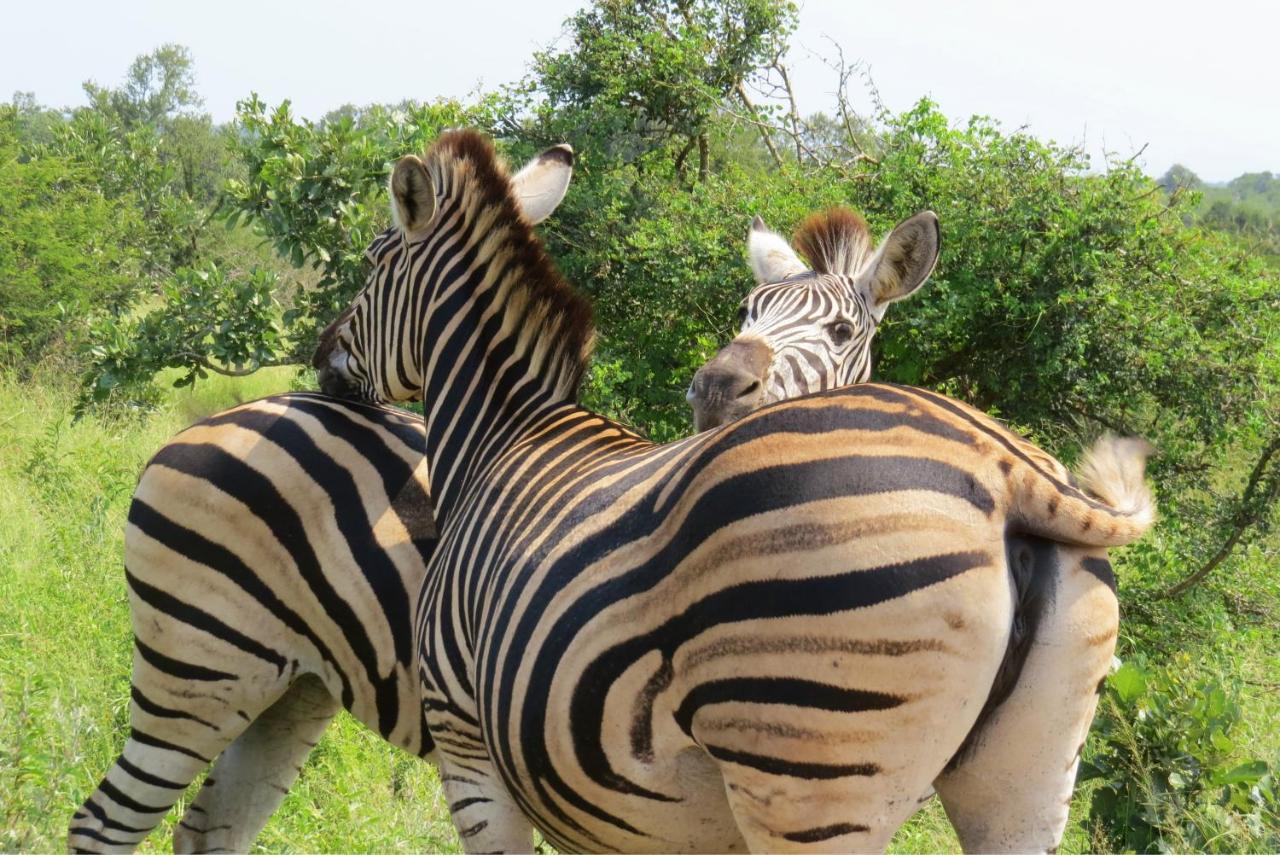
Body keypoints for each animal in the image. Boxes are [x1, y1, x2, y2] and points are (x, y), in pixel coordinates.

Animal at [64, 143, 576, 849]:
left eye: (373, 261)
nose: (319, 353)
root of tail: (204, 424)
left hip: (288, 684)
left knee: (209, 830)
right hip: (197, 669)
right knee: (103, 822)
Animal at [317, 128, 1152, 855]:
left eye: (373, 259)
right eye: (744, 312)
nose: (324, 359)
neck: (509, 431)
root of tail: (1005, 468)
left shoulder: (467, 749)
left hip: (809, 770)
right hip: (1029, 780)